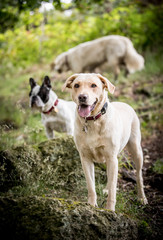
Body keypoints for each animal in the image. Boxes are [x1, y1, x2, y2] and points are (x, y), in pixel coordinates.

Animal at [62, 72, 148, 210]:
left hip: (136, 149)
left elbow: (113, 188)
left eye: (93, 85)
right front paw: (91, 206)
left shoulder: (112, 157)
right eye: (76, 85)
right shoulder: (85, 158)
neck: (93, 120)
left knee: (139, 175)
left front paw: (110, 210)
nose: (82, 97)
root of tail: (125, 103)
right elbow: (91, 185)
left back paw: (142, 198)